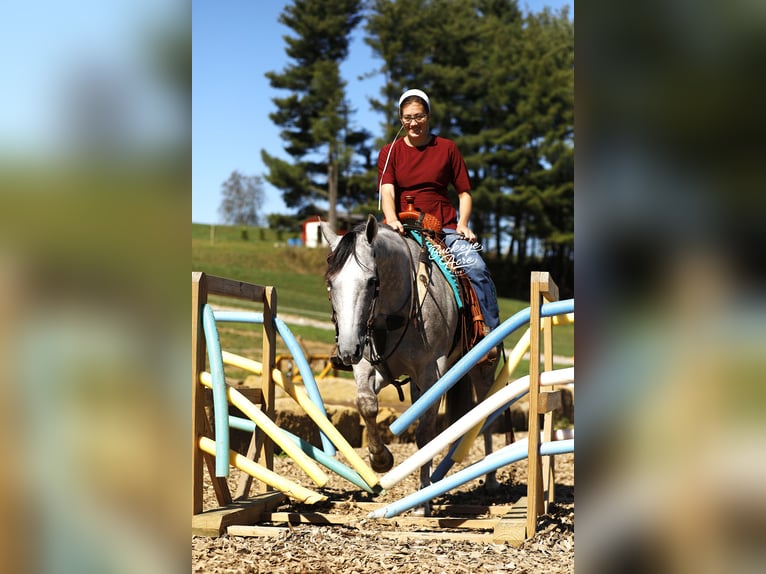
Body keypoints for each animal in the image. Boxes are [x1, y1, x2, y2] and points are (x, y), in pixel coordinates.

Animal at [321, 214, 497, 514]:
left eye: (371, 282)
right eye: (331, 284)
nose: (346, 349)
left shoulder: (432, 372)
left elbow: (425, 433)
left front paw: (422, 500)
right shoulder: (370, 366)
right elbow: (366, 404)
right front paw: (380, 459)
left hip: (482, 368)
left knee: (485, 415)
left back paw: (491, 479)